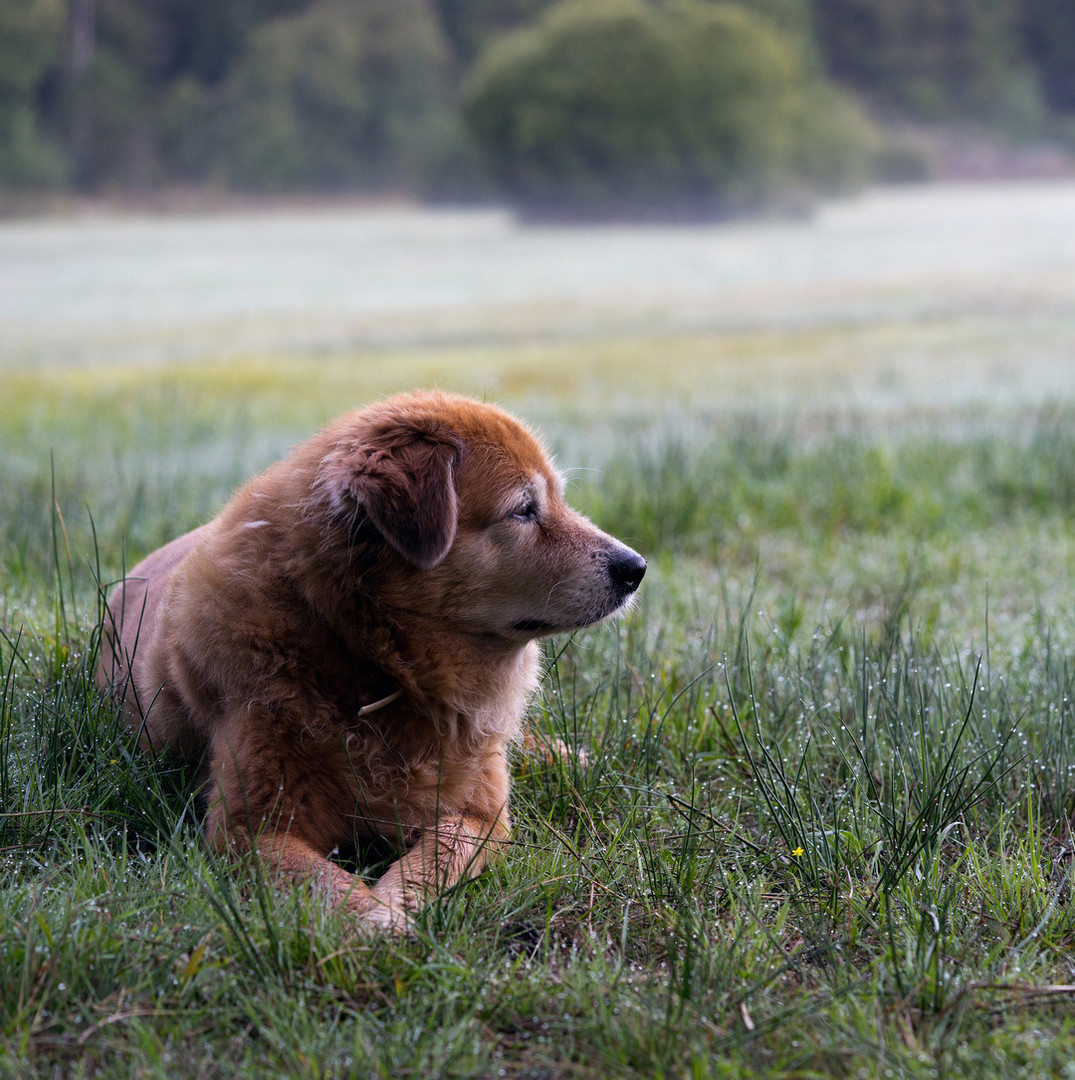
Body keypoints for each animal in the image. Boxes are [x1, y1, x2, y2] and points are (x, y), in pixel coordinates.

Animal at [96, 393, 643, 933]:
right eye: (524, 509)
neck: (376, 664)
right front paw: (379, 919)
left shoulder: (480, 816)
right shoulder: (247, 830)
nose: (636, 569)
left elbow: (437, 856)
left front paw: (395, 903)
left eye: (556, 500)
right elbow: (327, 882)